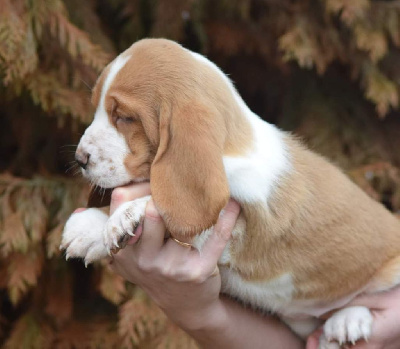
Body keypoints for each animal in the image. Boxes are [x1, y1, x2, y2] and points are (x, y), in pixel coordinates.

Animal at [60, 38, 400, 348]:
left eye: (124, 117)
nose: (79, 158)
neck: (230, 151)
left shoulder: (243, 229)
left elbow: (169, 211)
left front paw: (114, 219)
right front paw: (91, 225)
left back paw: (348, 320)